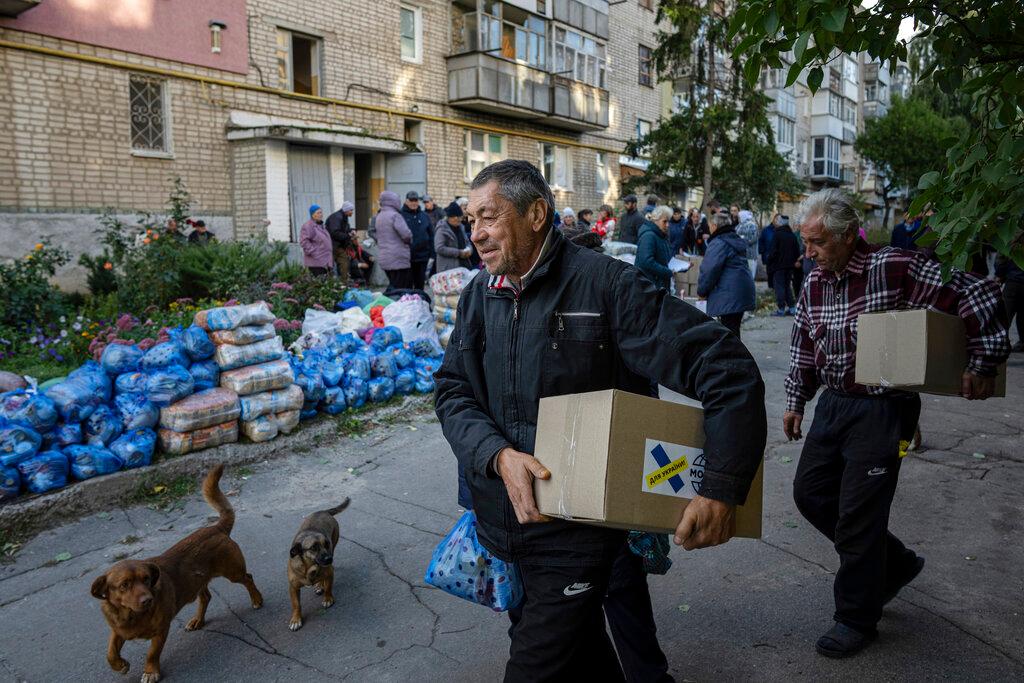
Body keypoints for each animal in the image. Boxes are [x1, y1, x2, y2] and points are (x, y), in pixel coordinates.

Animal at [89, 464, 262, 683]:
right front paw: (120, 665)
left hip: (233, 572)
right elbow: (110, 652)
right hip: (197, 580)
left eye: (146, 579)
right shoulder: (117, 630)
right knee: (206, 596)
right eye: (124, 585)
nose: (147, 600)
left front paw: (150, 671)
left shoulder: (161, 631)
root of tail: (216, 527)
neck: (132, 616)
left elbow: (152, 653)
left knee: (248, 578)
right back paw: (198, 620)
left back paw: (257, 600)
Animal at [288, 497, 352, 630]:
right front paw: (296, 619)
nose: (329, 559)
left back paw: (319, 585)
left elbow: (328, 587)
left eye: (326, 544)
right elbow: (296, 604)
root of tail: (323, 511)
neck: (309, 568)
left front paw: (328, 598)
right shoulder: (293, 587)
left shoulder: (330, 573)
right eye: (313, 547)